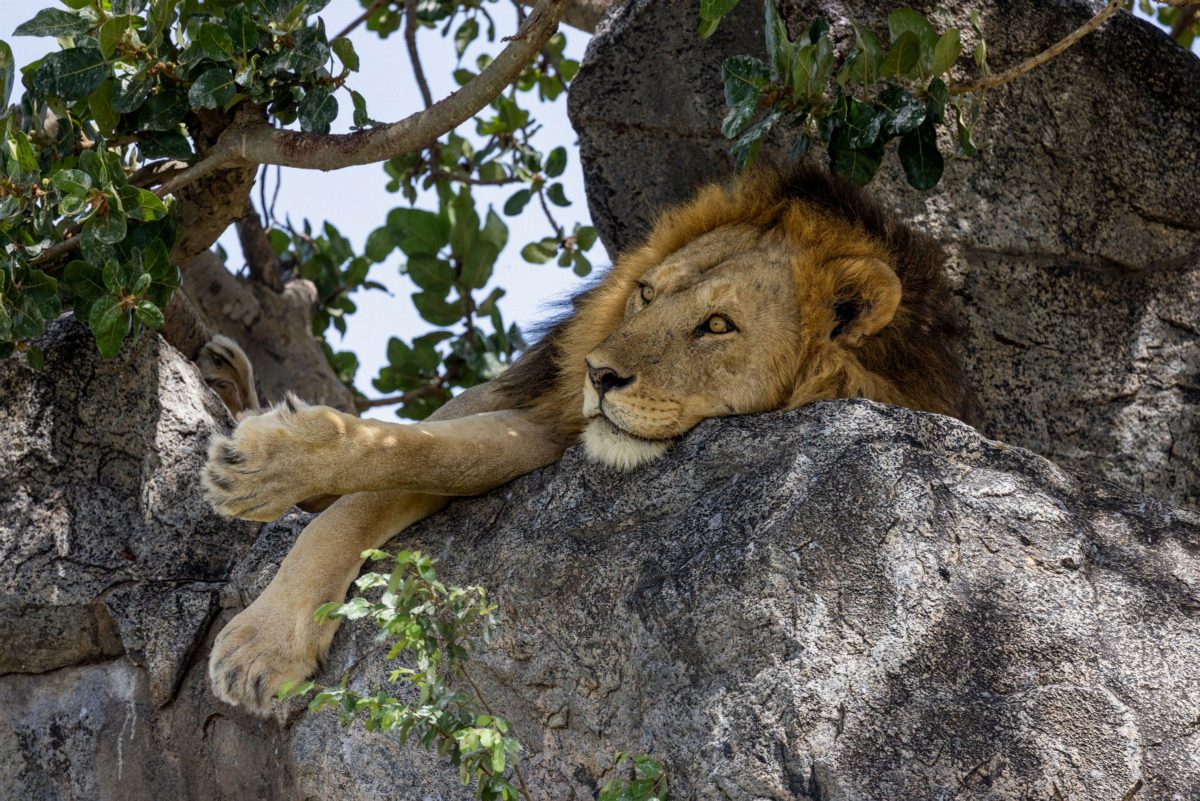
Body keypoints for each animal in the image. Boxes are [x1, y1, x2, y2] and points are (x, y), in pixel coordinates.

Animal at [200, 165, 976, 713]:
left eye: (717, 325)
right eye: (647, 294)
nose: (598, 374)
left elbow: (423, 460)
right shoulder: (543, 411)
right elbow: (387, 469)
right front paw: (265, 617)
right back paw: (228, 384)